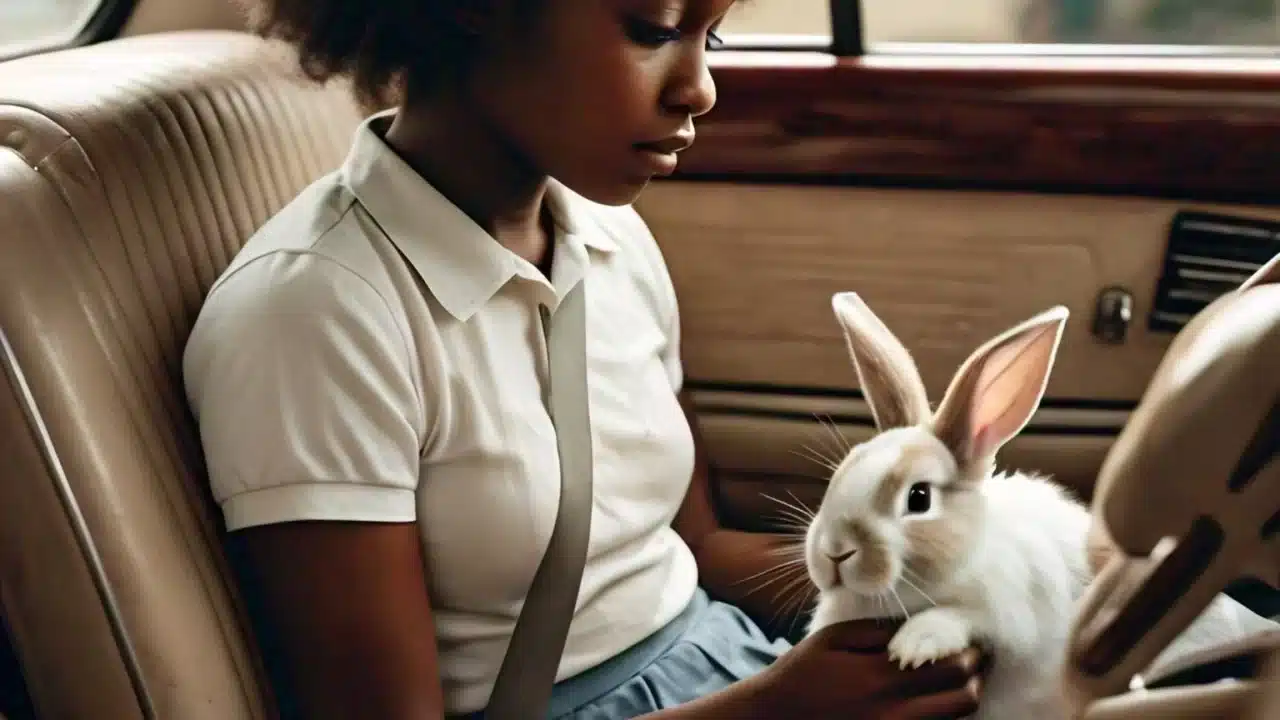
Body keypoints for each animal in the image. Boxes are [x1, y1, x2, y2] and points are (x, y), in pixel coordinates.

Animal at [803, 292, 1274, 717]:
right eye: (842, 471)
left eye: (919, 498)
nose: (834, 551)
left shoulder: (1009, 616)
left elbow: (963, 617)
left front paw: (916, 644)